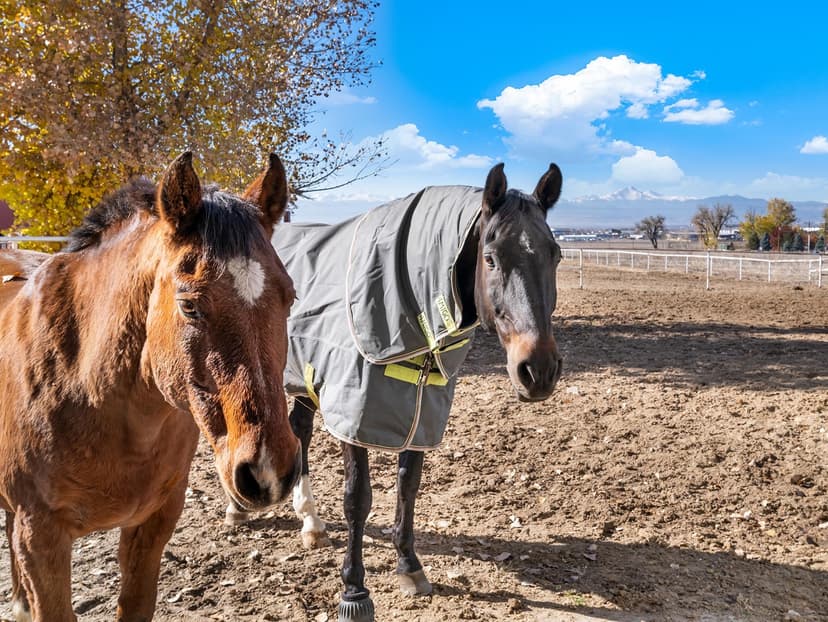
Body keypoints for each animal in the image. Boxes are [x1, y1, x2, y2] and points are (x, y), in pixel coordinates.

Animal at [229, 161, 564, 621]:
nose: (539, 371)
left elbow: (408, 487)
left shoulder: (420, 415)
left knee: (300, 431)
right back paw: (238, 510)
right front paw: (354, 591)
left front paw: (409, 566)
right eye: (491, 258)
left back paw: (310, 522)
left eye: (556, 255)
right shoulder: (352, 415)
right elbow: (357, 498)